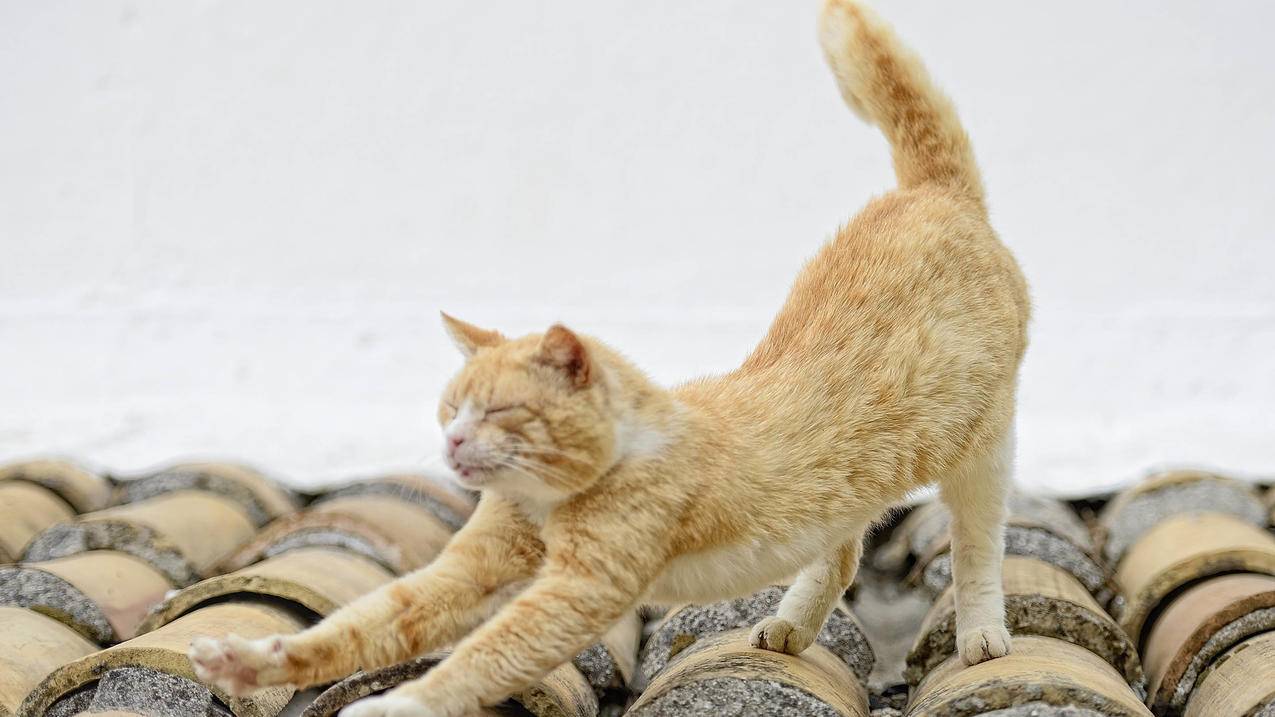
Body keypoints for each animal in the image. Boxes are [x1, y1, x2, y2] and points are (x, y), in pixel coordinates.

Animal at [188, 2, 1025, 709]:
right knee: (842, 554)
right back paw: (788, 627)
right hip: (851, 488)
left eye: (499, 410)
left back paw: (982, 635)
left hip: (982, 450)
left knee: (977, 546)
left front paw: (396, 705)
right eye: (448, 408)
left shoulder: (576, 592)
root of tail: (933, 192)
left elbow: (482, 655)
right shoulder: (466, 567)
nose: (452, 442)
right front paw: (252, 662)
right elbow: (365, 624)